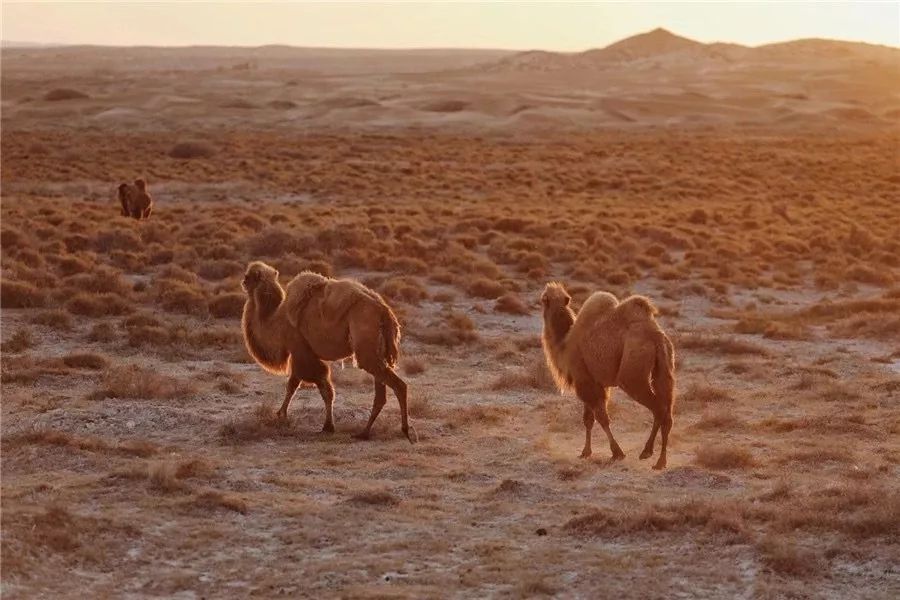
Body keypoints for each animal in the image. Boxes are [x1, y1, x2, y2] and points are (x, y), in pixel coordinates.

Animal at [239, 260, 414, 442]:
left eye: (248, 276)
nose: (242, 282)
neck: (275, 321)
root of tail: (384, 310)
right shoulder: (303, 354)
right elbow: (305, 385)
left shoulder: (300, 350)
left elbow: (307, 386)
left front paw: (320, 424)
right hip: (377, 350)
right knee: (381, 393)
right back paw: (364, 432)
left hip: (366, 343)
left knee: (398, 385)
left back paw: (405, 431)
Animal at [540, 284, 676, 472]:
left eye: (543, 298)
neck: (564, 344)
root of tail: (655, 336)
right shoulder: (593, 381)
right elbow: (588, 419)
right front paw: (585, 452)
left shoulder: (585, 381)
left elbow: (601, 418)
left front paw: (617, 453)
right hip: (665, 367)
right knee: (667, 412)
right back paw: (657, 459)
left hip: (632, 375)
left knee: (658, 409)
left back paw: (651, 455)